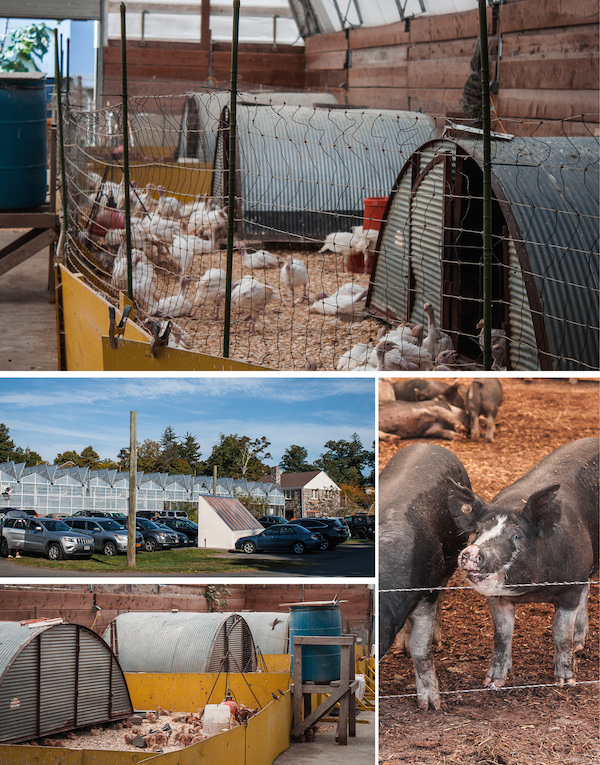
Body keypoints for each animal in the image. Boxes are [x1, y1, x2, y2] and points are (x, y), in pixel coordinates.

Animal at [380, 442, 474, 712]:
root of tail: (429, 444)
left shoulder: (426, 594)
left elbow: (420, 651)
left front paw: (431, 706)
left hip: (453, 553)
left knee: (442, 593)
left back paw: (436, 641)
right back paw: (400, 648)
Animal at [448, 436, 596, 688]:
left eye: (516, 535)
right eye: (478, 531)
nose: (472, 550)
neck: (531, 591)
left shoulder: (570, 587)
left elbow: (560, 634)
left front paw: (566, 682)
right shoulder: (498, 597)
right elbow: (501, 635)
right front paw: (492, 683)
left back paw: (578, 645)